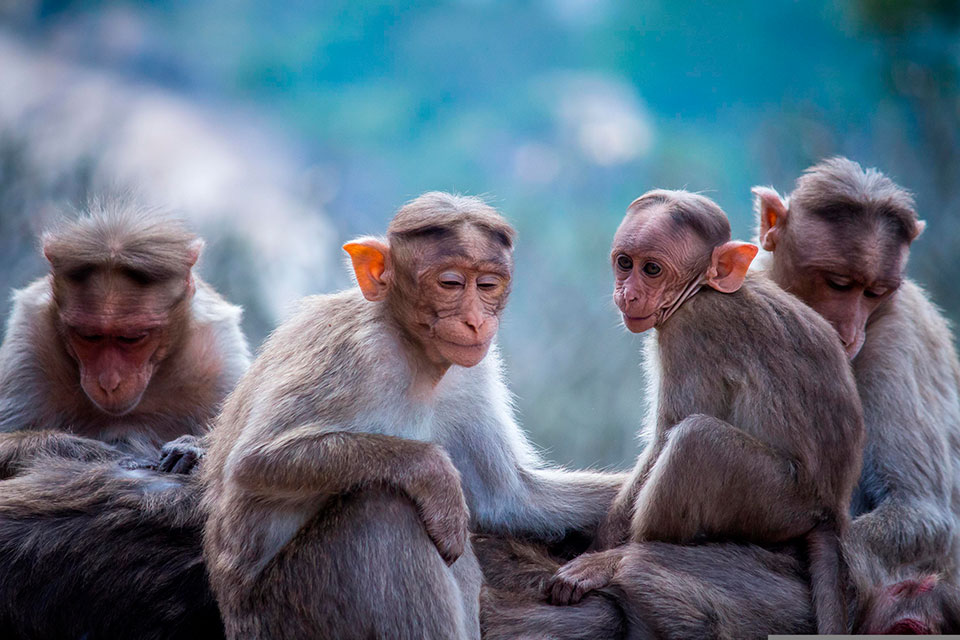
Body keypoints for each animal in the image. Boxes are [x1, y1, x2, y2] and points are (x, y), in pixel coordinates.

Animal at [0, 195, 251, 475]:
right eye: (89, 336)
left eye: (132, 338)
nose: (109, 383)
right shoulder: (28, 340)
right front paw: (89, 452)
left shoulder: (218, 353)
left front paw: (192, 448)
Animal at [201, 192, 624, 640]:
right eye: (450, 283)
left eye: (488, 285)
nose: (476, 321)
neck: (413, 349)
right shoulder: (356, 352)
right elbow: (254, 461)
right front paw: (434, 472)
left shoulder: (472, 374)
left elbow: (509, 499)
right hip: (288, 611)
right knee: (383, 510)